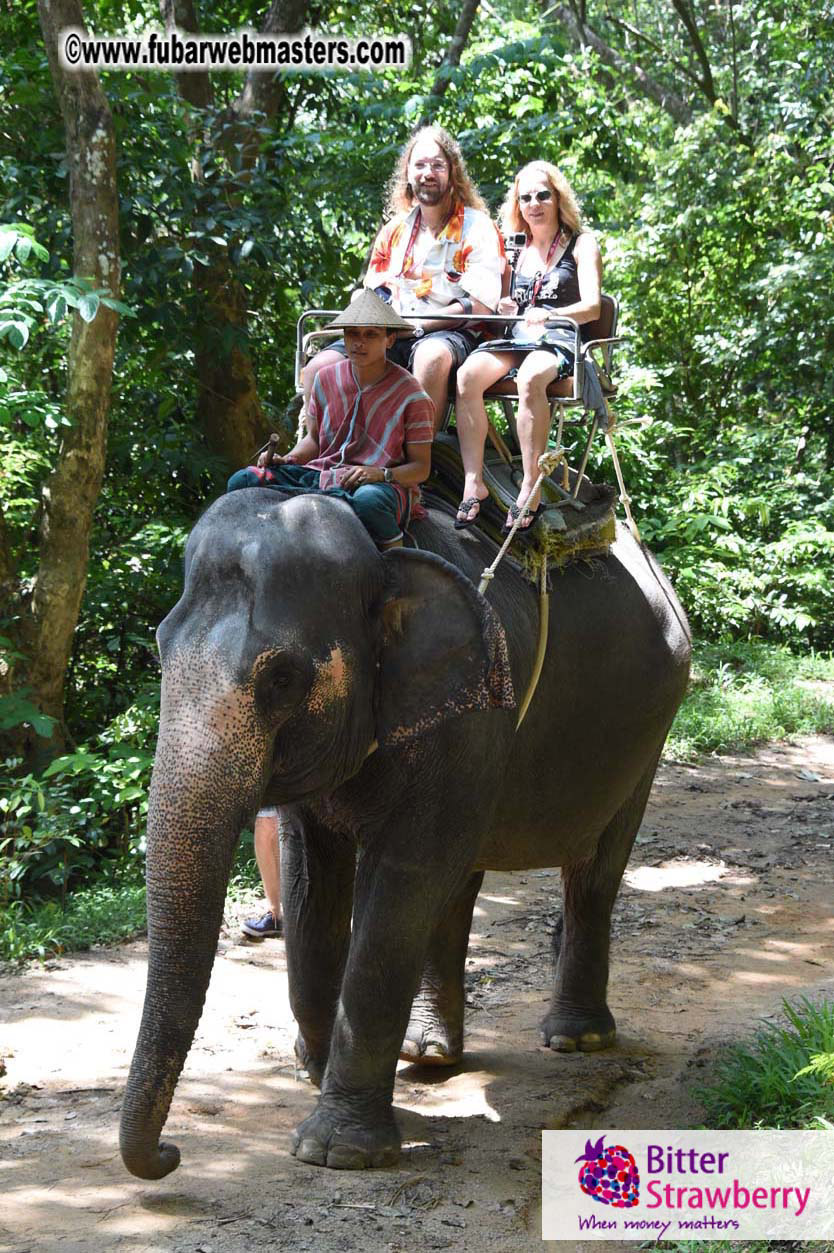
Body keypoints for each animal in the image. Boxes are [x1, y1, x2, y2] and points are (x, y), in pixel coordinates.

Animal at [119, 486, 690, 1179]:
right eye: (159, 647)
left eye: (281, 677)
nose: (169, 1154)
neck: (381, 555)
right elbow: (311, 884)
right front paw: (317, 1073)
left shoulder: (470, 714)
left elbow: (401, 881)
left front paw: (337, 1150)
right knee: (461, 881)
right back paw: (429, 1053)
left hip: (650, 728)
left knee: (593, 871)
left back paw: (576, 1038)